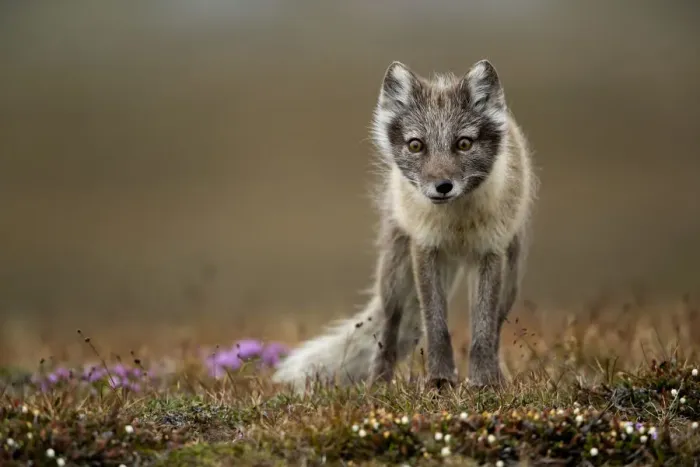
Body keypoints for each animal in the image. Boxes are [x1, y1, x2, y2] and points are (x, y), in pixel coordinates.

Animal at [272, 59, 536, 393]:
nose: (443, 186)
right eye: (415, 145)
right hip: (395, 278)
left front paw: (483, 383)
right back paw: (378, 384)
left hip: (509, 282)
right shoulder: (425, 249)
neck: (456, 226)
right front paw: (439, 381)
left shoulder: (489, 253)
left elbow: (483, 332)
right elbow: (436, 327)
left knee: (496, 325)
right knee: (388, 329)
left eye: (464, 144)